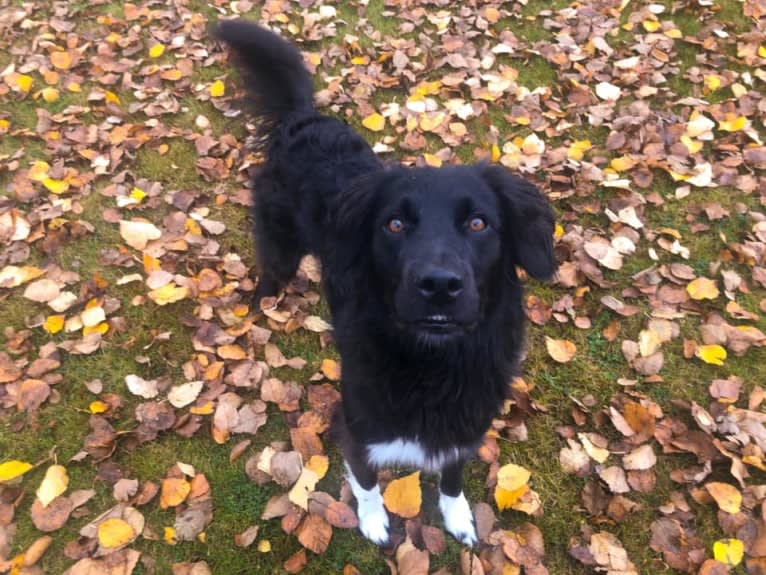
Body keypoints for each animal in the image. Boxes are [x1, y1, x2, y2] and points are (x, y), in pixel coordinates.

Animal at [218, 20, 560, 548]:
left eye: (478, 223)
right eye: (394, 225)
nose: (439, 285)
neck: (432, 367)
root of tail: (303, 120)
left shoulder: (466, 427)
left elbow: (452, 477)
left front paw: (458, 518)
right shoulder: (357, 426)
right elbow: (366, 482)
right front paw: (374, 522)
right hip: (280, 246)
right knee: (269, 276)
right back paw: (259, 309)